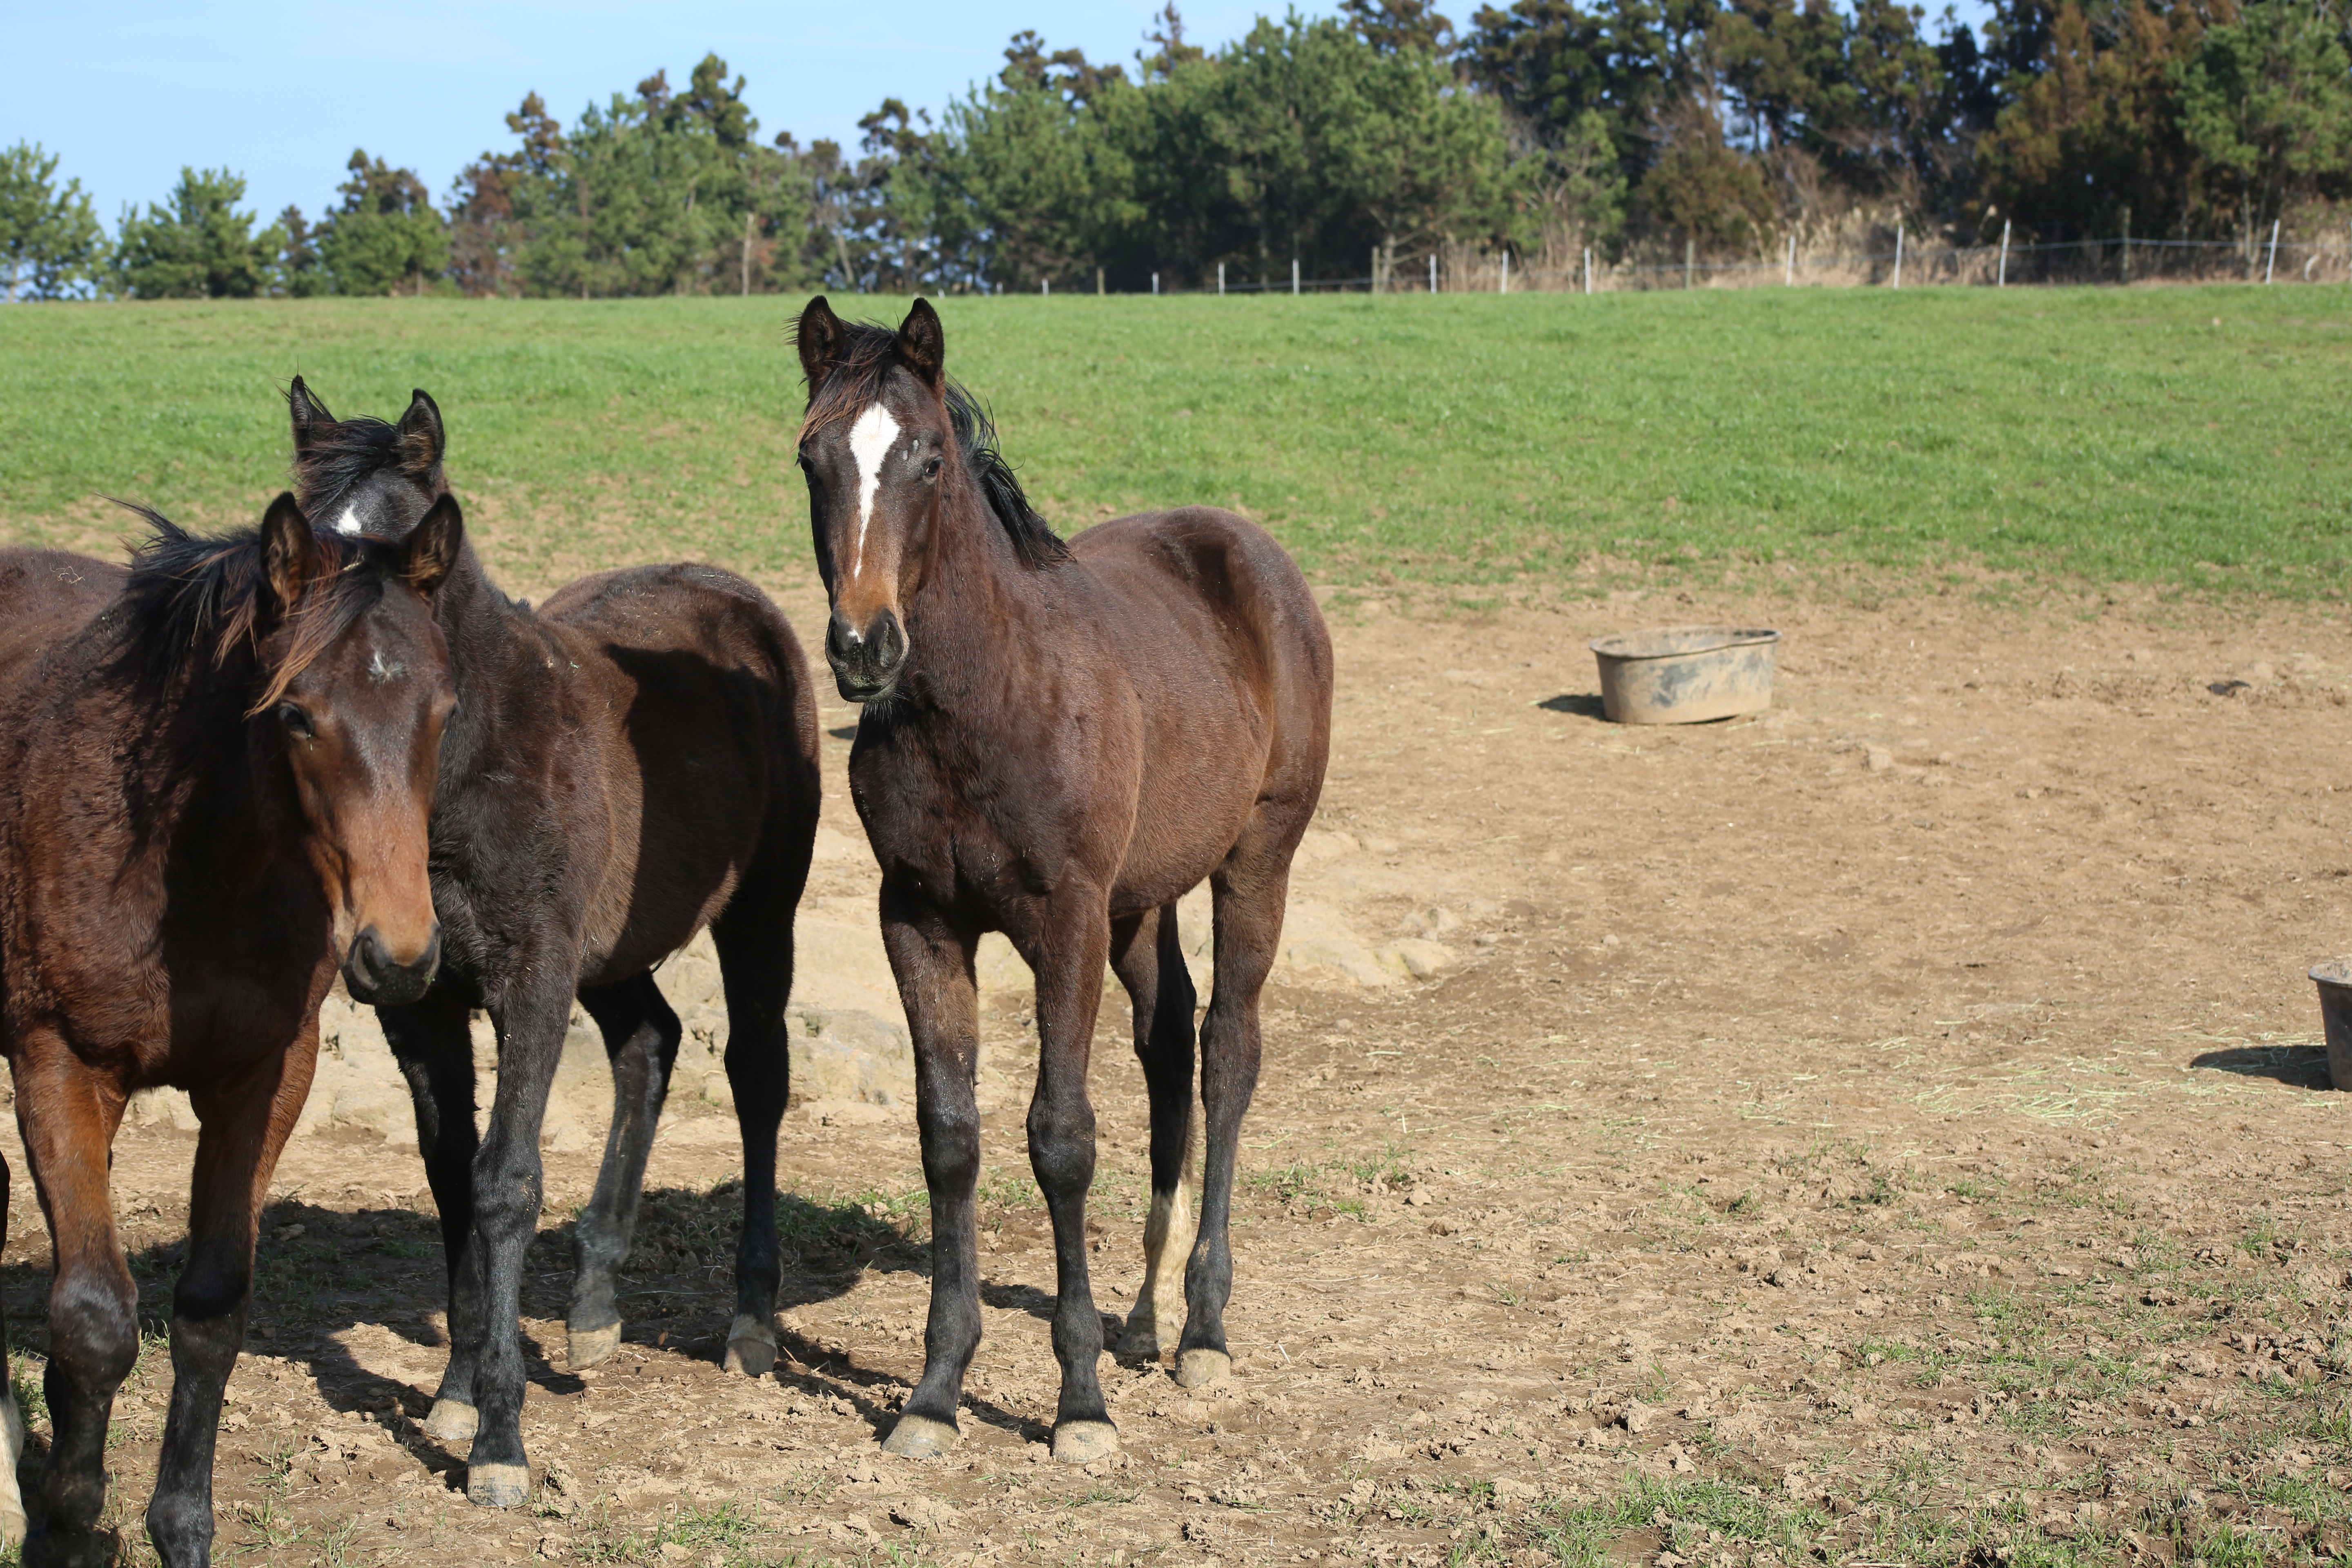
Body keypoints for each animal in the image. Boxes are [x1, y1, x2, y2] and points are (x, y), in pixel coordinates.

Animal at [0, 496, 461, 1561]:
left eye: (444, 711)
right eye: (296, 715)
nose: (400, 955)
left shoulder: (264, 1077)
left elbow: (210, 1310)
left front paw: (179, 1524)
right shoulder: (57, 1063)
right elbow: (94, 1316)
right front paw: (68, 1519)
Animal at [285, 376, 828, 1504]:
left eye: (407, 549)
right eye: (299, 546)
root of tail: (737, 597)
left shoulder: (530, 981)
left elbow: (505, 1182)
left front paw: (499, 1440)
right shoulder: (415, 1000)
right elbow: (450, 1175)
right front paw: (454, 1390)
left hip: (759, 910)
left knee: (757, 1076)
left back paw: (750, 1321)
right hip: (613, 947)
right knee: (650, 1041)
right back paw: (593, 1306)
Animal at [795, 301, 1336, 1467]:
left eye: (928, 457)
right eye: (811, 457)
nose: (863, 647)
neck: (981, 704)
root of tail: (1252, 552)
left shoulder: (1065, 921)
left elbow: (1062, 1139)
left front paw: (1078, 1404)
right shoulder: (918, 918)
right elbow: (948, 1137)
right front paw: (933, 1391)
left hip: (1254, 861)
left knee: (1227, 1051)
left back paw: (1202, 1330)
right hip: (1142, 899)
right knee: (1167, 1039)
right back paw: (1146, 1316)